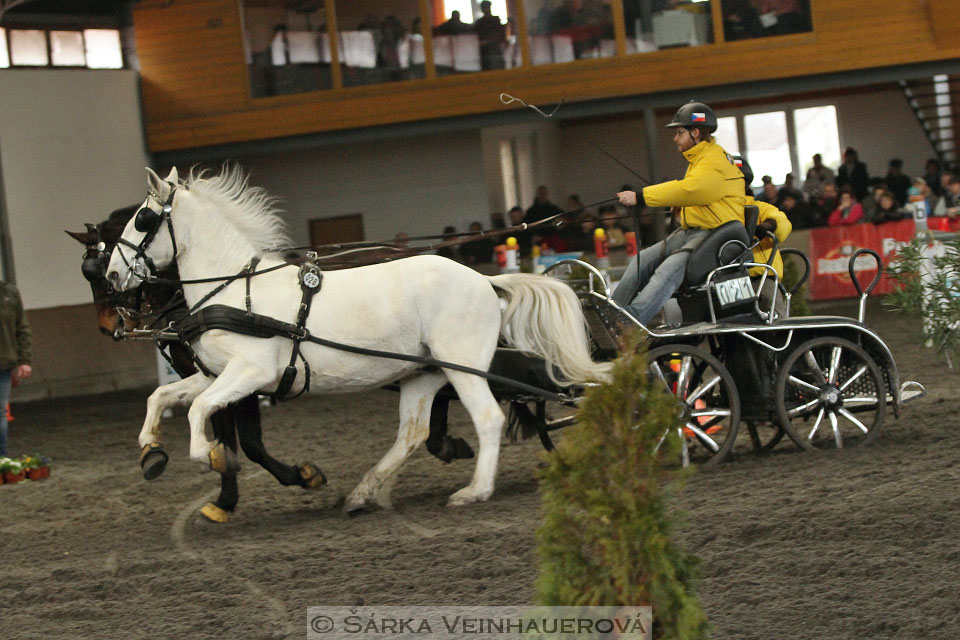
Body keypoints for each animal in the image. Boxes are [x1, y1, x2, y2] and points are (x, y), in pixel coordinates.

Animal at [68, 208, 326, 524]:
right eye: (88, 271)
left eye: (101, 271)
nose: (107, 327)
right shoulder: (204, 373)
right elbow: (219, 432)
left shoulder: (243, 378)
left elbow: (249, 443)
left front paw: (300, 476)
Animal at [109, 166, 612, 510]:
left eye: (142, 219)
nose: (112, 275)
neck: (236, 290)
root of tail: (486, 281)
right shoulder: (218, 373)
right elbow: (163, 396)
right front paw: (152, 449)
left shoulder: (251, 372)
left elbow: (198, 409)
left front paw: (209, 455)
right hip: (423, 373)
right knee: (412, 432)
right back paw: (363, 492)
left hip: (463, 367)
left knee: (487, 418)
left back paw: (474, 490)